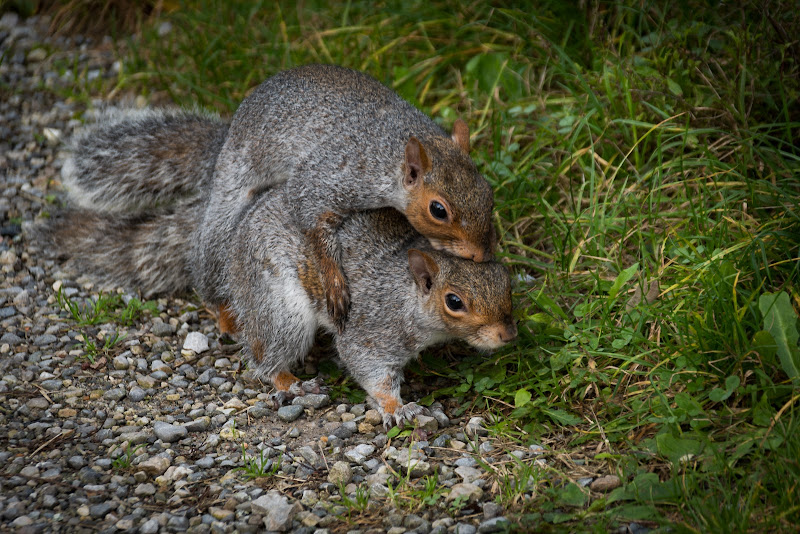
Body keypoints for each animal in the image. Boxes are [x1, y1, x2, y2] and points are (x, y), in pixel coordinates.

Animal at [65, 63, 496, 330]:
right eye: (438, 209)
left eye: (489, 192)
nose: (479, 255)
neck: (389, 151)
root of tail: (225, 142)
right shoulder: (331, 175)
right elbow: (309, 218)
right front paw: (335, 281)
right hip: (232, 194)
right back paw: (221, 310)